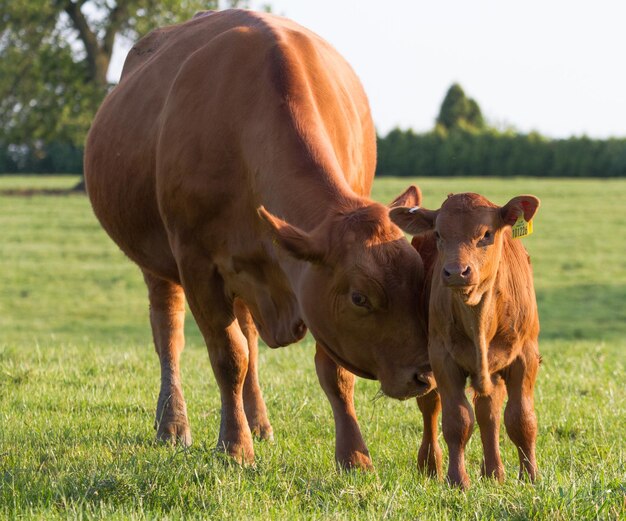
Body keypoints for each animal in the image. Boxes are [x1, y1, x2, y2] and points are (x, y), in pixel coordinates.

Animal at [83, 10, 434, 470]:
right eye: (361, 297)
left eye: (419, 282)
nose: (424, 374)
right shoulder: (196, 263)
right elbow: (227, 356)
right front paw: (234, 446)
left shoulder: (308, 278)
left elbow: (333, 372)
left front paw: (353, 455)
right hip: (156, 261)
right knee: (169, 332)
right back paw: (173, 424)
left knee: (248, 333)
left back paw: (259, 421)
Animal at [392, 188, 540, 488]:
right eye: (439, 234)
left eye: (486, 233)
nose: (456, 272)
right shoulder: (443, 359)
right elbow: (457, 421)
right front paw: (457, 480)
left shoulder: (525, 357)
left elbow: (521, 419)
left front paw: (531, 478)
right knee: (431, 406)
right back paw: (430, 465)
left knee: (488, 411)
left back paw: (494, 473)